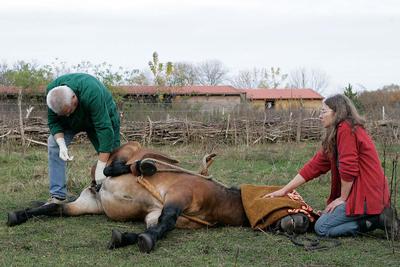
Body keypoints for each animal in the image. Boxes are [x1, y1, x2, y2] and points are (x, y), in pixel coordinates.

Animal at [6, 142, 310, 253]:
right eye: (296, 203)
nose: (304, 224)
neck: (220, 198)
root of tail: (96, 188)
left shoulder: (159, 214)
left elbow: (157, 225)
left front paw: (128, 238)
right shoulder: (178, 197)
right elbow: (166, 222)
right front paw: (145, 241)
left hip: (87, 204)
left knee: (55, 209)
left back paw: (17, 215)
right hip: (127, 154)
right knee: (119, 163)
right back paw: (143, 166)